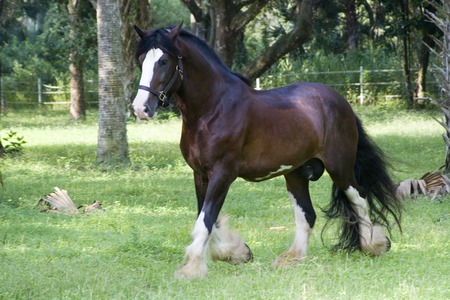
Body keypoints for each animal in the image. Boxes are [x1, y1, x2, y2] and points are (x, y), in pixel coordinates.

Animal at [130, 23, 400, 278]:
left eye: (164, 61)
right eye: (141, 60)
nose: (141, 109)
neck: (213, 109)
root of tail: (340, 101)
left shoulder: (222, 174)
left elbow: (205, 220)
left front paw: (192, 268)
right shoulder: (201, 174)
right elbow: (207, 218)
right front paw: (236, 252)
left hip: (339, 167)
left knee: (359, 199)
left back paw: (373, 245)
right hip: (296, 173)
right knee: (308, 214)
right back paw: (292, 258)